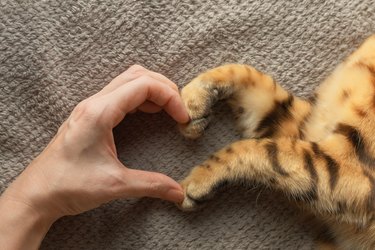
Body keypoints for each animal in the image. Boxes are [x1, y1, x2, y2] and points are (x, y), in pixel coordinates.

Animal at [178, 34, 375, 249]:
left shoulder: (350, 169)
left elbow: (260, 149)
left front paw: (198, 181)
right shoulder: (305, 125)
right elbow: (246, 73)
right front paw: (195, 97)